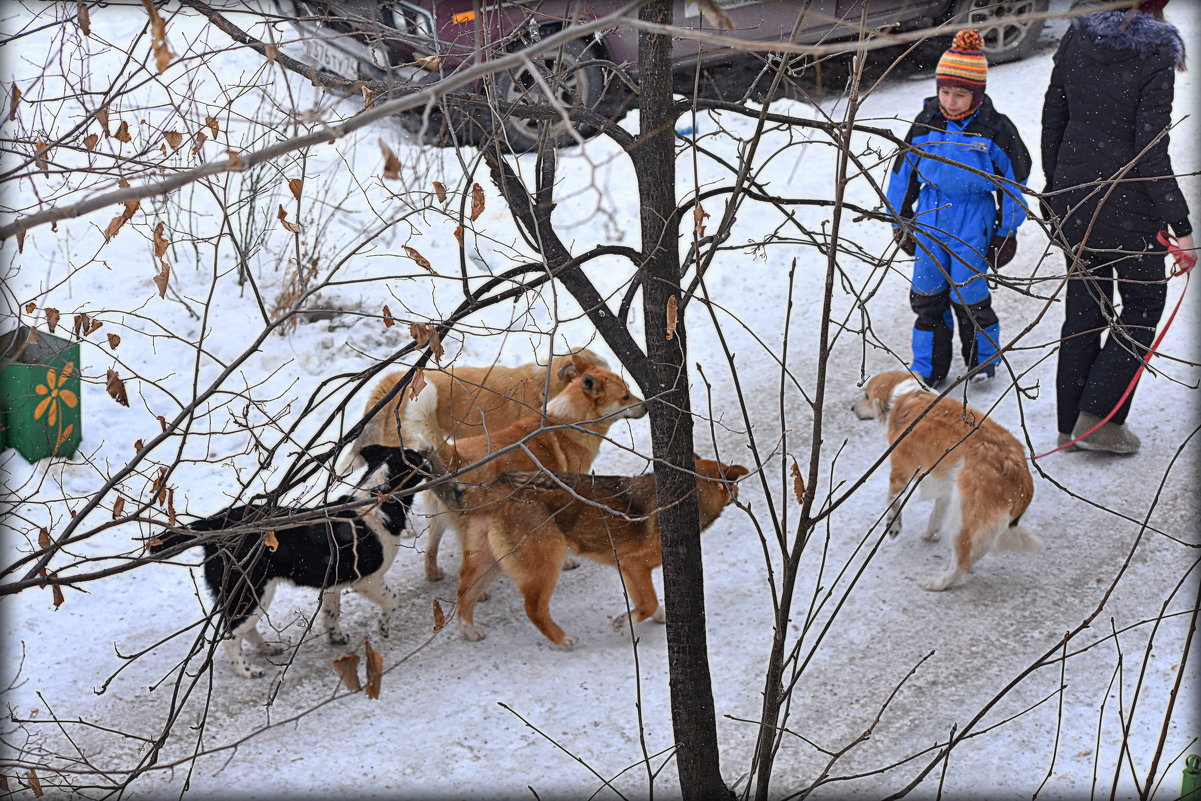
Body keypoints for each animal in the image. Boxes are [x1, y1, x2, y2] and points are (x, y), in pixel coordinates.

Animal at [149, 444, 432, 677]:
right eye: (418, 458)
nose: (431, 458)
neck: (378, 500)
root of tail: (214, 527)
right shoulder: (368, 580)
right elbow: (393, 600)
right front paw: (383, 628)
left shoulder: (332, 584)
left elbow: (331, 613)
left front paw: (336, 638)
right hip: (250, 590)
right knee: (230, 637)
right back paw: (248, 671)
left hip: (249, 592)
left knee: (243, 630)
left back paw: (267, 649)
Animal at [441, 453, 744, 648]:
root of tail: (495, 486)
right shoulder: (633, 565)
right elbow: (647, 603)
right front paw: (625, 620)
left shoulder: (631, 571)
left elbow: (650, 600)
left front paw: (657, 615)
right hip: (547, 561)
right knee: (533, 608)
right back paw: (562, 639)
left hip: (490, 562)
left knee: (464, 592)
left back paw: (468, 630)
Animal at [850, 372, 1037, 593]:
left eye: (867, 396)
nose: (852, 408)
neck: (905, 396)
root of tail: (1018, 472)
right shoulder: (946, 482)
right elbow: (937, 511)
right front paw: (930, 532)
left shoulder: (900, 472)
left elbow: (892, 501)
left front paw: (893, 525)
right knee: (974, 553)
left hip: (962, 517)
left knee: (962, 563)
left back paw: (938, 583)